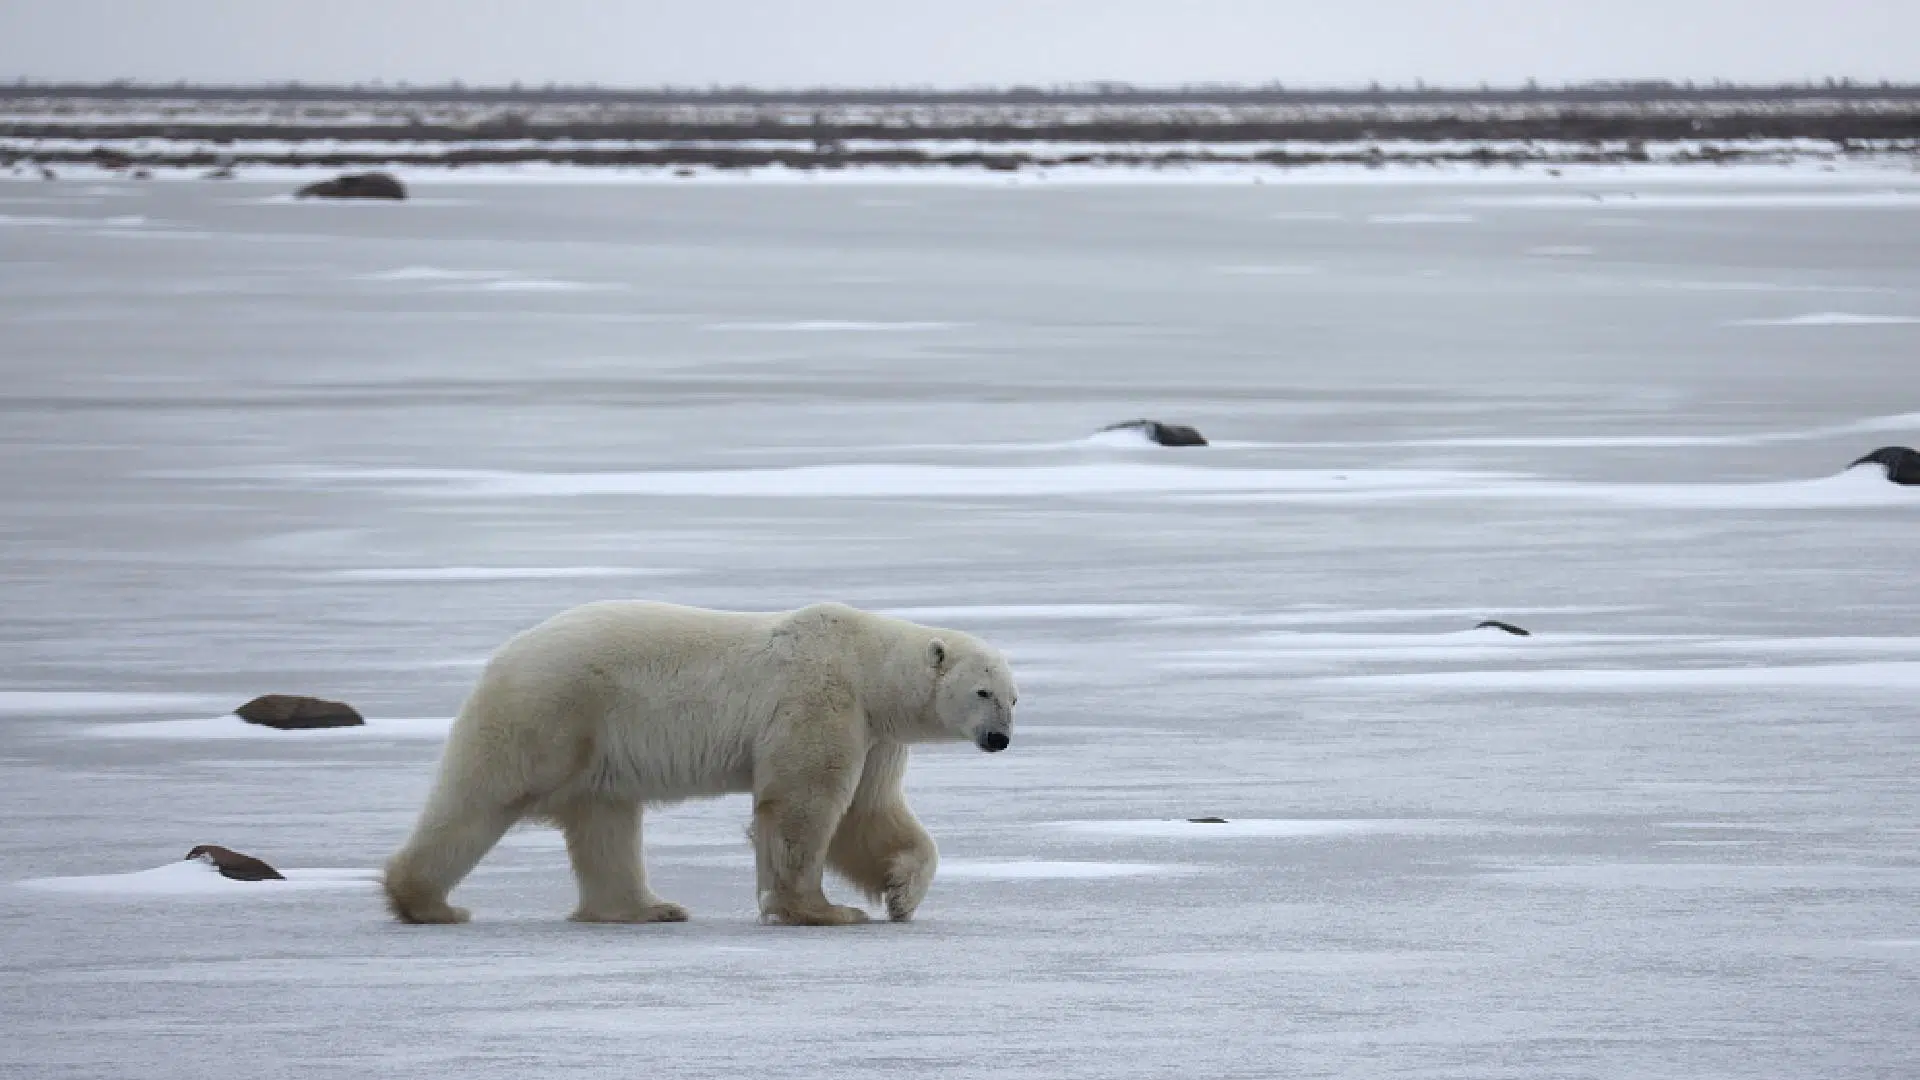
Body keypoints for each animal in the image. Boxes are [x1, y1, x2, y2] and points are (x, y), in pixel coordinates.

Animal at [381, 600, 1017, 928]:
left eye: (1014, 697)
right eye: (983, 692)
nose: (1000, 739)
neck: (865, 663)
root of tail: (503, 654)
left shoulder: (874, 733)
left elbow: (869, 815)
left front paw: (900, 893)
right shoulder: (820, 698)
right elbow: (803, 804)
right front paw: (822, 910)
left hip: (595, 742)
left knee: (606, 823)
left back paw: (644, 908)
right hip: (552, 710)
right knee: (483, 795)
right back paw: (426, 902)